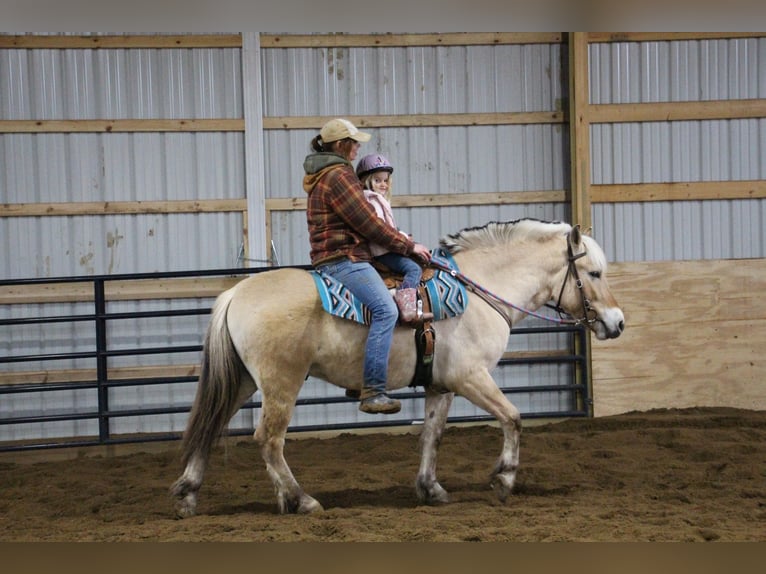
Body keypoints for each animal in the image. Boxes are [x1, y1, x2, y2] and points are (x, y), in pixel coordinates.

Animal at [171, 219, 628, 516]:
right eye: (594, 272)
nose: (618, 323)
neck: (478, 291)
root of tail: (236, 293)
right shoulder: (470, 377)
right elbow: (513, 418)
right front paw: (504, 479)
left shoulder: (440, 386)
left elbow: (432, 435)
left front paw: (430, 488)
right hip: (281, 382)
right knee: (268, 439)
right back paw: (301, 499)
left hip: (244, 381)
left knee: (211, 426)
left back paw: (189, 494)